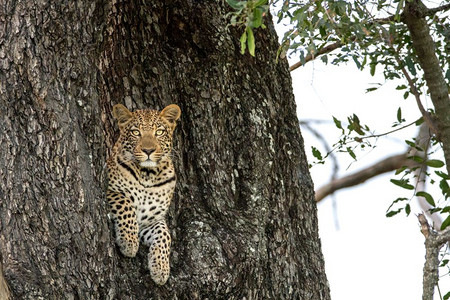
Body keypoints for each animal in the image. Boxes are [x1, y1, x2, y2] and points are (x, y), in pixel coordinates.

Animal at [106, 103, 180, 286]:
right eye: (135, 132)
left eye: (159, 132)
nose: (148, 150)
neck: (148, 175)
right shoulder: (110, 190)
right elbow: (125, 204)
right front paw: (129, 243)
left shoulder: (151, 220)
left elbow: (165, 235)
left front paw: (161, 269)